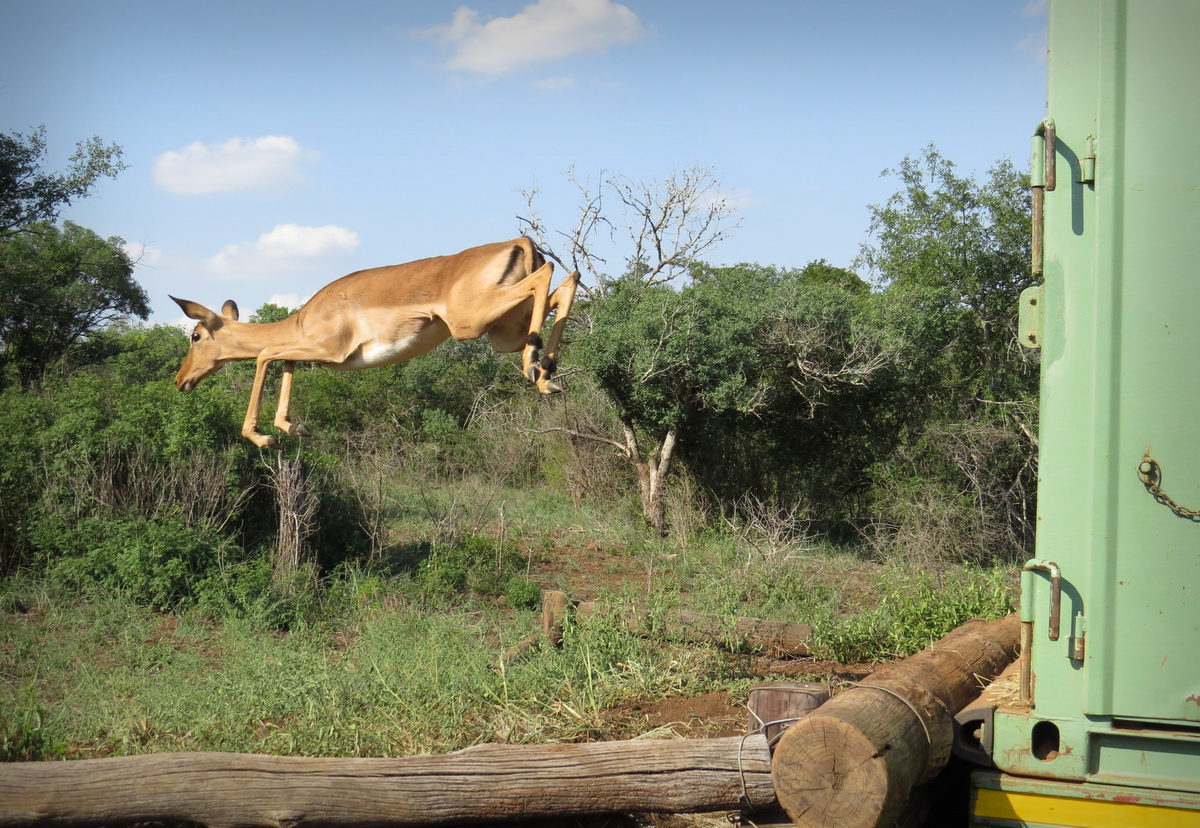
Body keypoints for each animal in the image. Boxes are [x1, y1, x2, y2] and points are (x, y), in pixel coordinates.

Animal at [172, 238, 579, 448]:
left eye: (195, 335)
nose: (180, 380)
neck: (303, 318)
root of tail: (520, 241)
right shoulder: (309, 350)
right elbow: (283, 361)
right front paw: (294, 427)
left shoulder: (329, 350)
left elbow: (267, 355)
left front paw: (262, 437)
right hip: (502, 332)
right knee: (567, 281)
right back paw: (546, 375)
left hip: (472, 322)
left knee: (551, 273)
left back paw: (534, 364)